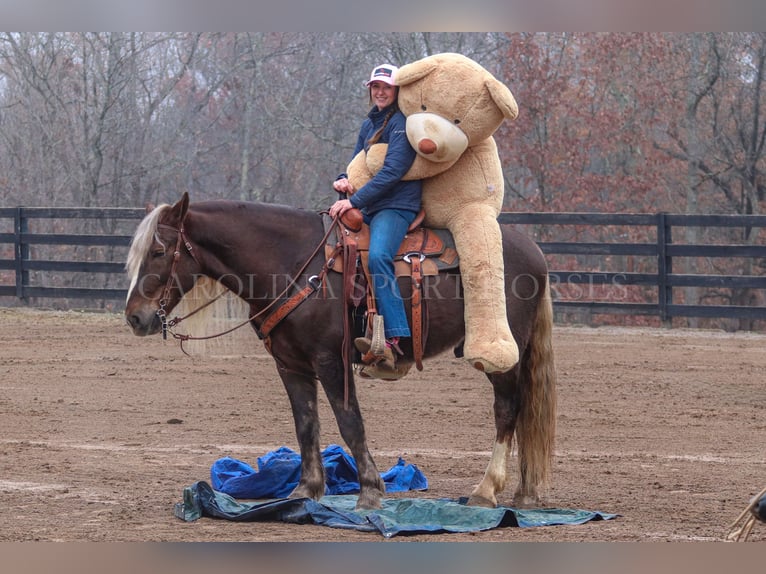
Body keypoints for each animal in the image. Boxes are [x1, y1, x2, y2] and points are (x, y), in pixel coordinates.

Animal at [126, 191, 560, 510]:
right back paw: (524, 493)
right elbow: (306, 425)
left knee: (507, 410)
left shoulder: (329, 360)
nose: (134, 317)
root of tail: (535, 252)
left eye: (159, 252)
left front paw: (369, 490)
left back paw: (486, 490)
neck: (294, 262)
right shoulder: (290, 365)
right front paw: (306, 491)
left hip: (503, 353)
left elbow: (350, 422)